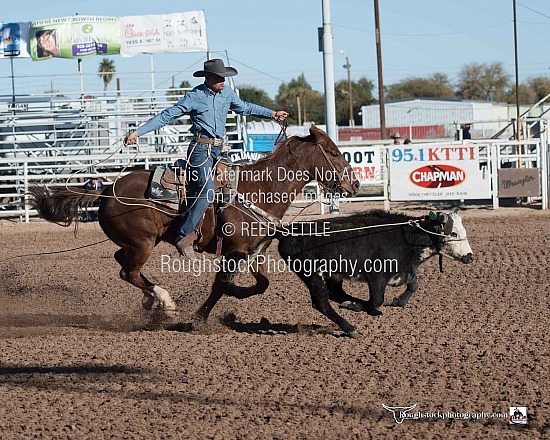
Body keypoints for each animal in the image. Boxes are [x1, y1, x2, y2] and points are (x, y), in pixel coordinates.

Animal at [30, 124, 360, 324]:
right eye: (333, 152)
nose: (354, 184)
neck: (258, 189)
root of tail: (106, 189)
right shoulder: (232, 253)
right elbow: (220, 286)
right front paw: (201, 316)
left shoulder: (253, 252)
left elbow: (261, 284)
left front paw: (233, 296)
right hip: (143, 243)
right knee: (128, 272)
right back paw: (164, 300)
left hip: (136, 243)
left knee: (122, 263)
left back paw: (153, 301)